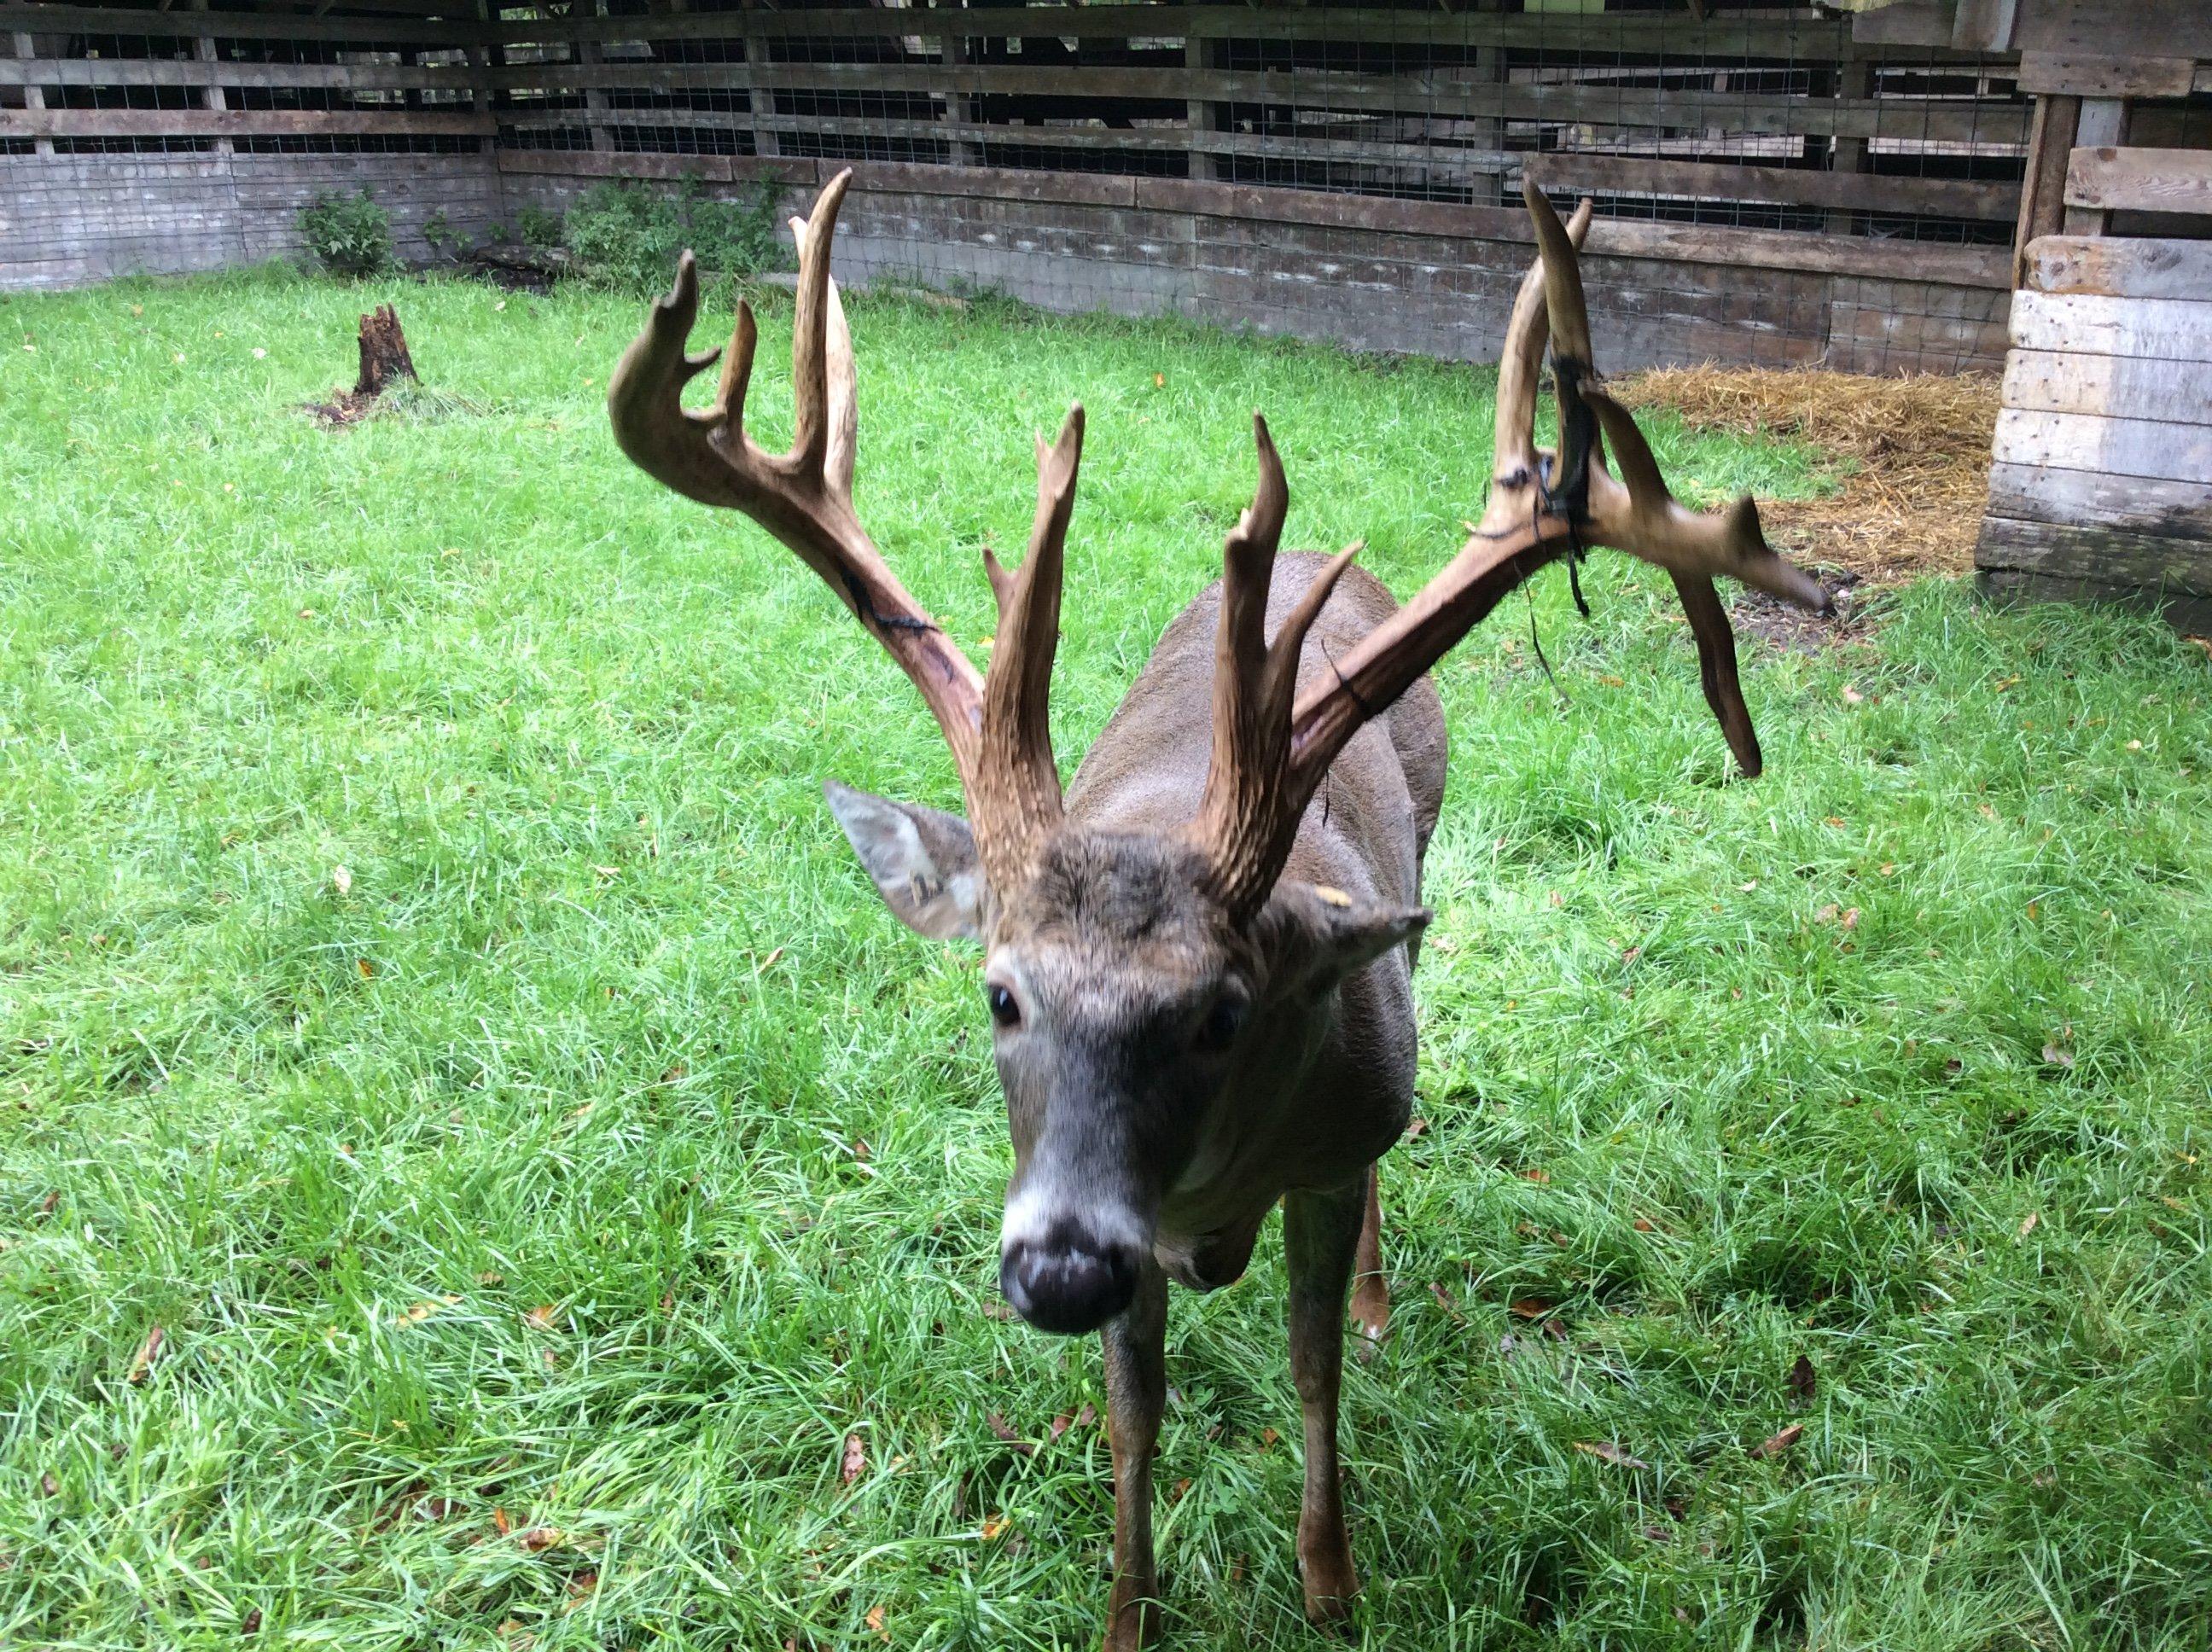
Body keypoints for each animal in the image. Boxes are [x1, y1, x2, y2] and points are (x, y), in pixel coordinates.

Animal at [608, 169, 1829, 1647]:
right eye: (1000, 992)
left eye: (1223, 1015)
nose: (1058, 1276)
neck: (1209, 1189)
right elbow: (1135, 1417)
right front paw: (1128, 1610)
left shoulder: (1328, 1147)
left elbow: (1312, 1371)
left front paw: (1333, 1585)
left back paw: (1380, 1301)